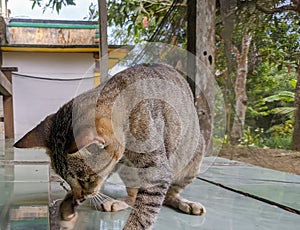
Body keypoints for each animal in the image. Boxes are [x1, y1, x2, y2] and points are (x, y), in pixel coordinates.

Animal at [14, 63, 206, 229]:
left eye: (87, 180)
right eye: (67, 180)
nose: (80, 198)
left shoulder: (157, 171)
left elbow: (143, 213)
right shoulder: (118, 161)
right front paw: (68, 206)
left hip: (193, 161)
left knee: (168, 196)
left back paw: (187, 204)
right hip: (129, 172)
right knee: (135, 196)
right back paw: (118, 202)